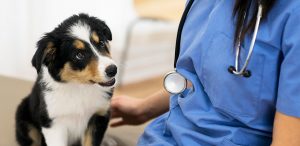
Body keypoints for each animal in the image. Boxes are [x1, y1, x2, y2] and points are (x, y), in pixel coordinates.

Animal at [15, 13, 117, 146]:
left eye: (101, 43)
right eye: (79, 55)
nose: (113, 70)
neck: (80, 88)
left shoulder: (99, 115)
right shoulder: (53, 123)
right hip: (25, 120)